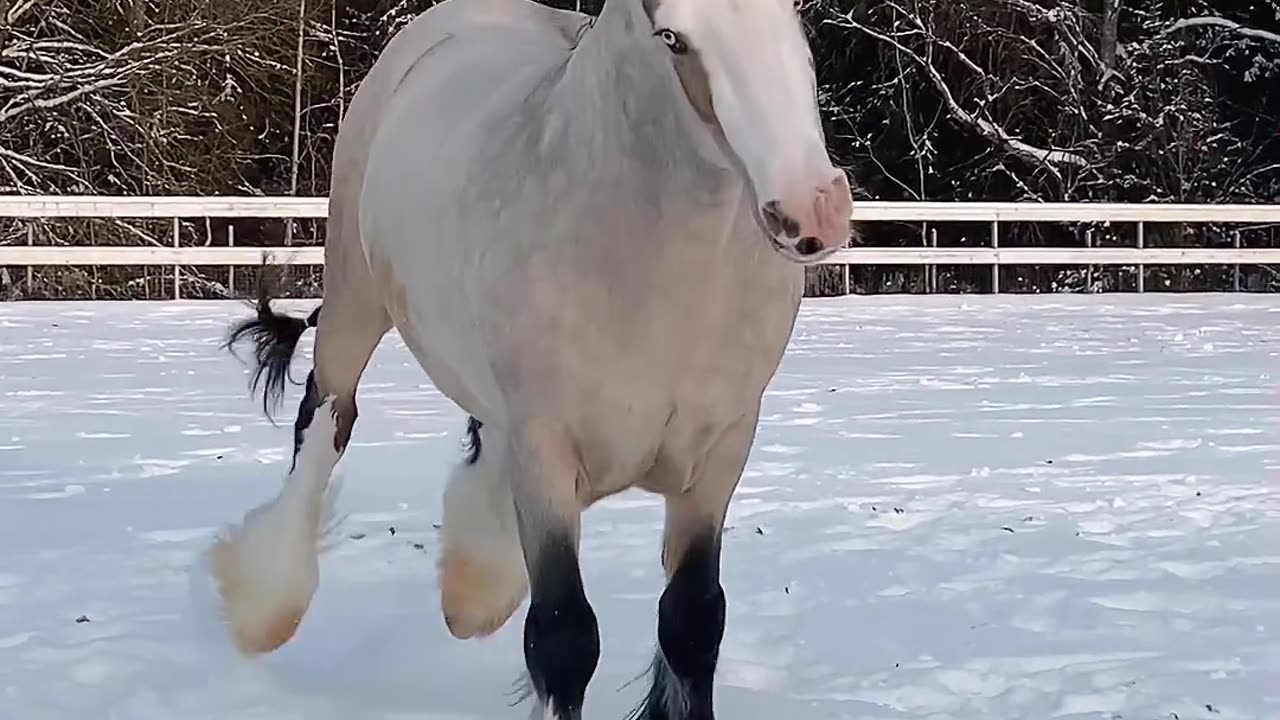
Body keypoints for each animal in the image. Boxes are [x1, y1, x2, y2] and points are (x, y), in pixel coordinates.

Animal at [207, 0, 849, 712]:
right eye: (672, 36)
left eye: (794, 16)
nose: (813, 209)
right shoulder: (546, 451)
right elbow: (564, 640)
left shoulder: (721, 453)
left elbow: (692, 623)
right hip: (354, 299)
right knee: (325, 423)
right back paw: (266, 606)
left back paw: (472, 587)